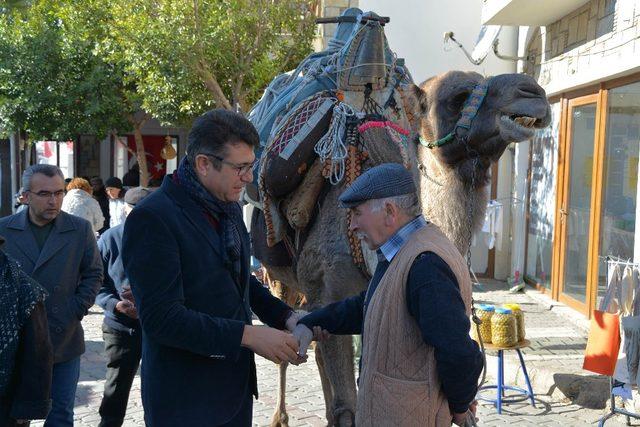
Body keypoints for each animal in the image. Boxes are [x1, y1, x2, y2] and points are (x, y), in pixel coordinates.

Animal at [258, 72, 552, 426]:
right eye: (457, 96)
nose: (533, 92)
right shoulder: (324, 287)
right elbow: (346, 406)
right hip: (278, 273)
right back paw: (279, 417)